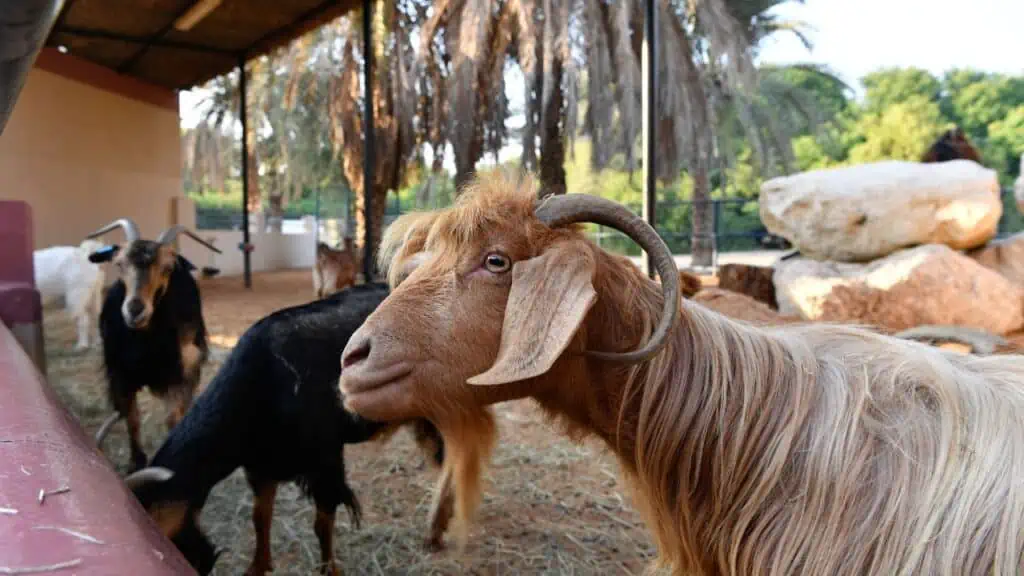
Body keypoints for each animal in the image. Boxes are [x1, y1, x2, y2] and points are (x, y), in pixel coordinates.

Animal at [89, 218, 222, 471]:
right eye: (119, 264)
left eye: (167, 268)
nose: (135, 310)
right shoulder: (120, 376)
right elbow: (132, 417)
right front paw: (136, 461)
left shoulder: (179, 374)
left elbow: (173, 419)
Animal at [122, 282, 464, 573]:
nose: (202, 563)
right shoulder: (262, 465)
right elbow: (260, 517)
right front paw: (257, 567)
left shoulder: (325, 462)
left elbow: (322, 524)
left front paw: (329, 570)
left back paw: (435, 532)